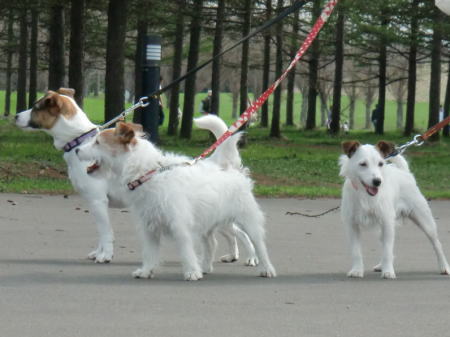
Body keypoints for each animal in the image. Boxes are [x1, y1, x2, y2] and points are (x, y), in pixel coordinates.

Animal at [14, 88, 256, 266]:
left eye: (36, 107)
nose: (15, 116)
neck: (79, 140)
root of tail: (217, 164)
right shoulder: (94, 204)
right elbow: (101, 233)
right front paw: (98, 252)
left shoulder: (98, 202)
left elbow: (106, 232)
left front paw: (105, 255)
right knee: (234, 232)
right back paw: (233, 255)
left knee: (243, 233)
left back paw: (253, 258)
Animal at [76, 122, 278, 280]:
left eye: (97, 142)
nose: (77, 149)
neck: (148, 173)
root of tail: (230, 169)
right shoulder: (149, 226)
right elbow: (149, 251)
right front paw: (146, 270)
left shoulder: (180, 225)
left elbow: (186, 250)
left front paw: (191, 272)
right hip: (208, 223)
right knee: (211, 243)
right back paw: (205, 267)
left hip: (247, 220)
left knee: (258, 243)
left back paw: (266, 268)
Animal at [340, 139, 448, 278]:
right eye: (363, 164)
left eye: (380, 164)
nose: (377, 181)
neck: (365, 195)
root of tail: (404, 172)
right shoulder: (352, 225)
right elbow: (356, 251)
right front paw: (357, 270)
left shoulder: (387, 223)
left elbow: (387, 250)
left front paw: (388, 271)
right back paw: (381, 265)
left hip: (425, 221)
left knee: (437, 244)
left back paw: (444, 266)